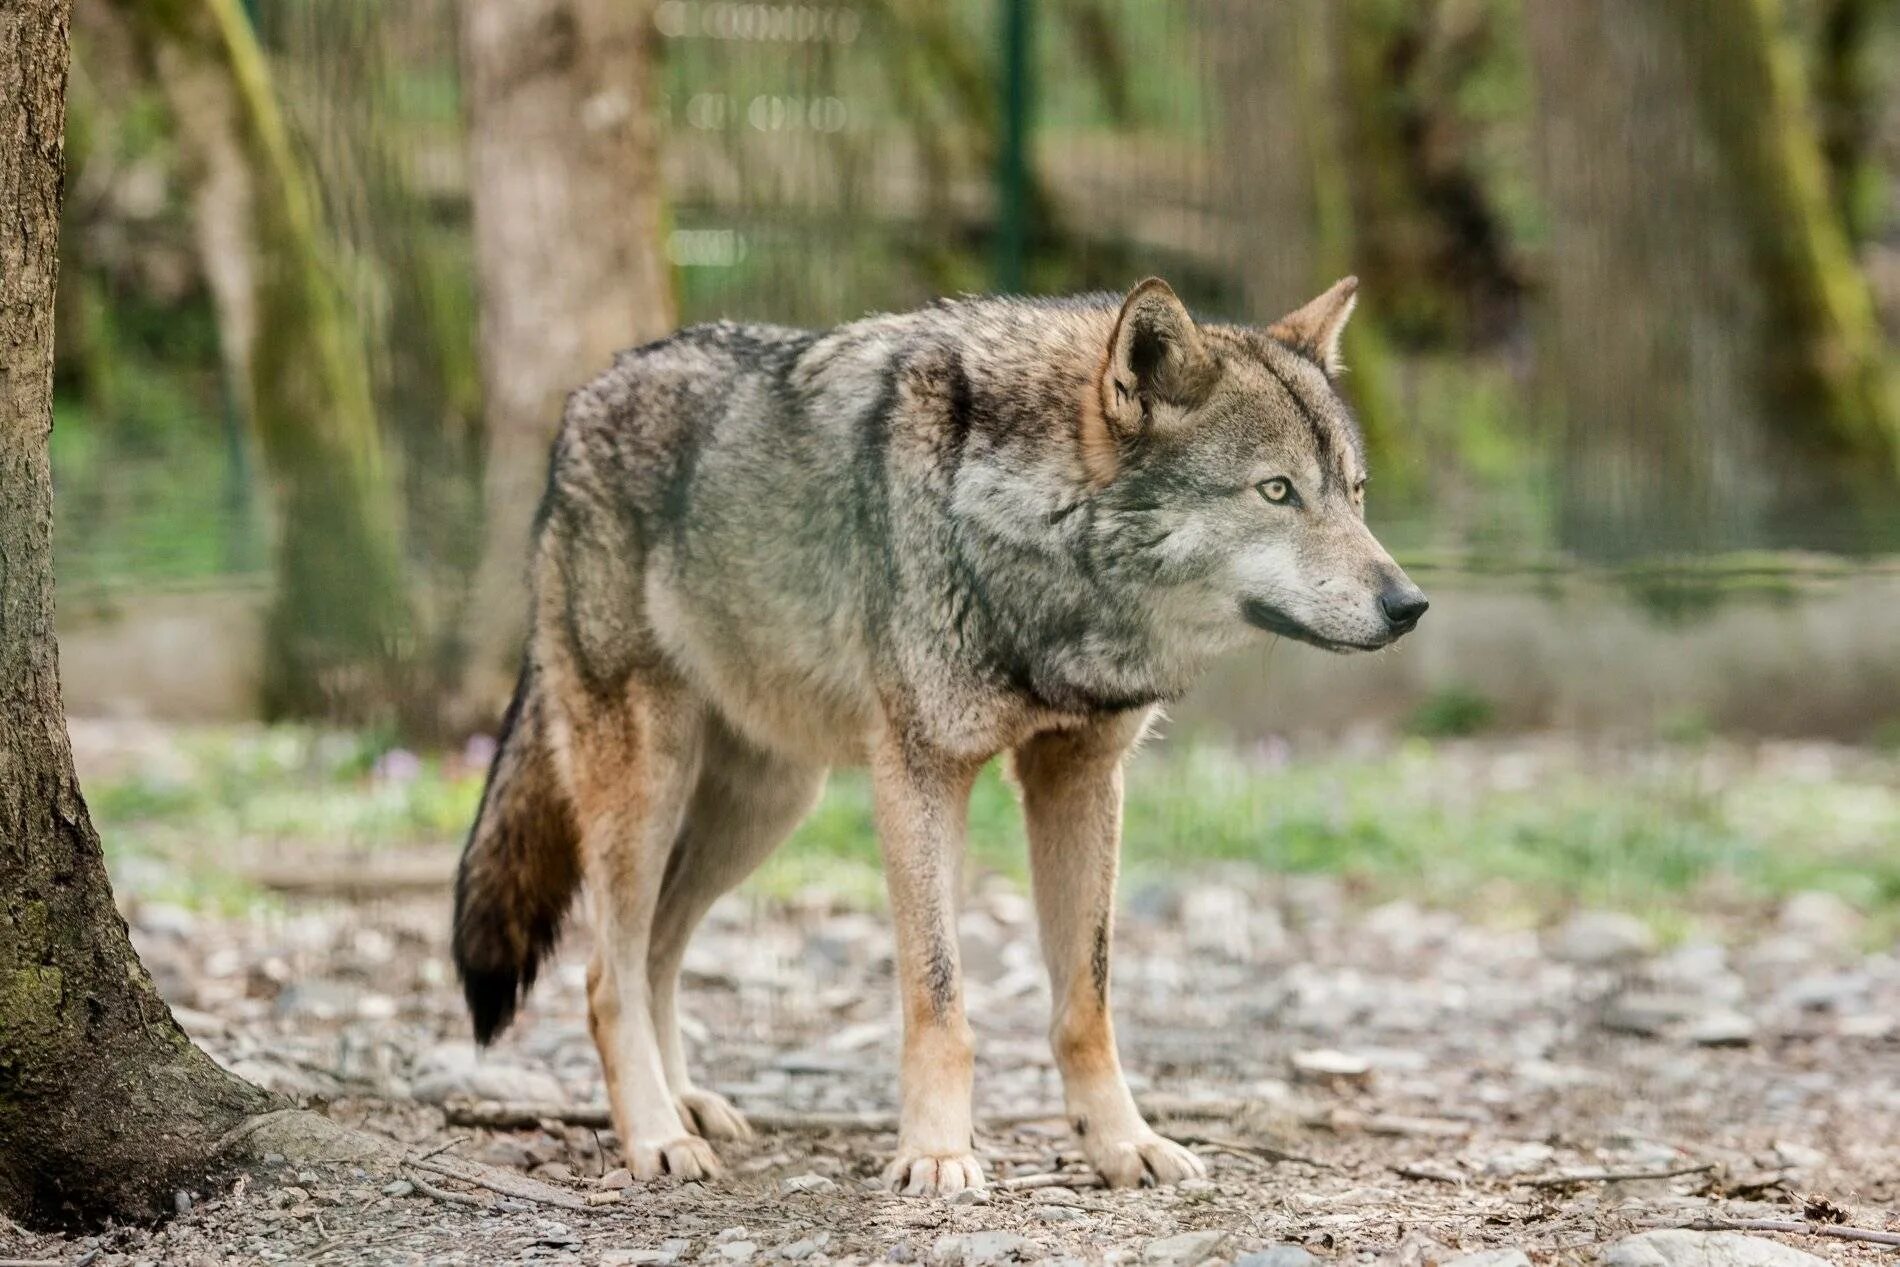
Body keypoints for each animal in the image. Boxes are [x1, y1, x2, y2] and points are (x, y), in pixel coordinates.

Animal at [444, 273, 1428, 1192]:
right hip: (650, 783)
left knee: (654, 949)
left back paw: (686, 1104)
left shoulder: (1080, 773)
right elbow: (940, 994)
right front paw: (937, 1155)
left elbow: (1087, 999)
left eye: (1356, 493)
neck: (1034, 546)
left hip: (766, 806)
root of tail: (585, 398)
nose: (1409, 605)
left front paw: (1122, 1144)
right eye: (1277, 491)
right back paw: (655, 1135)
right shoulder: (921, 771)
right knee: (607, 973)